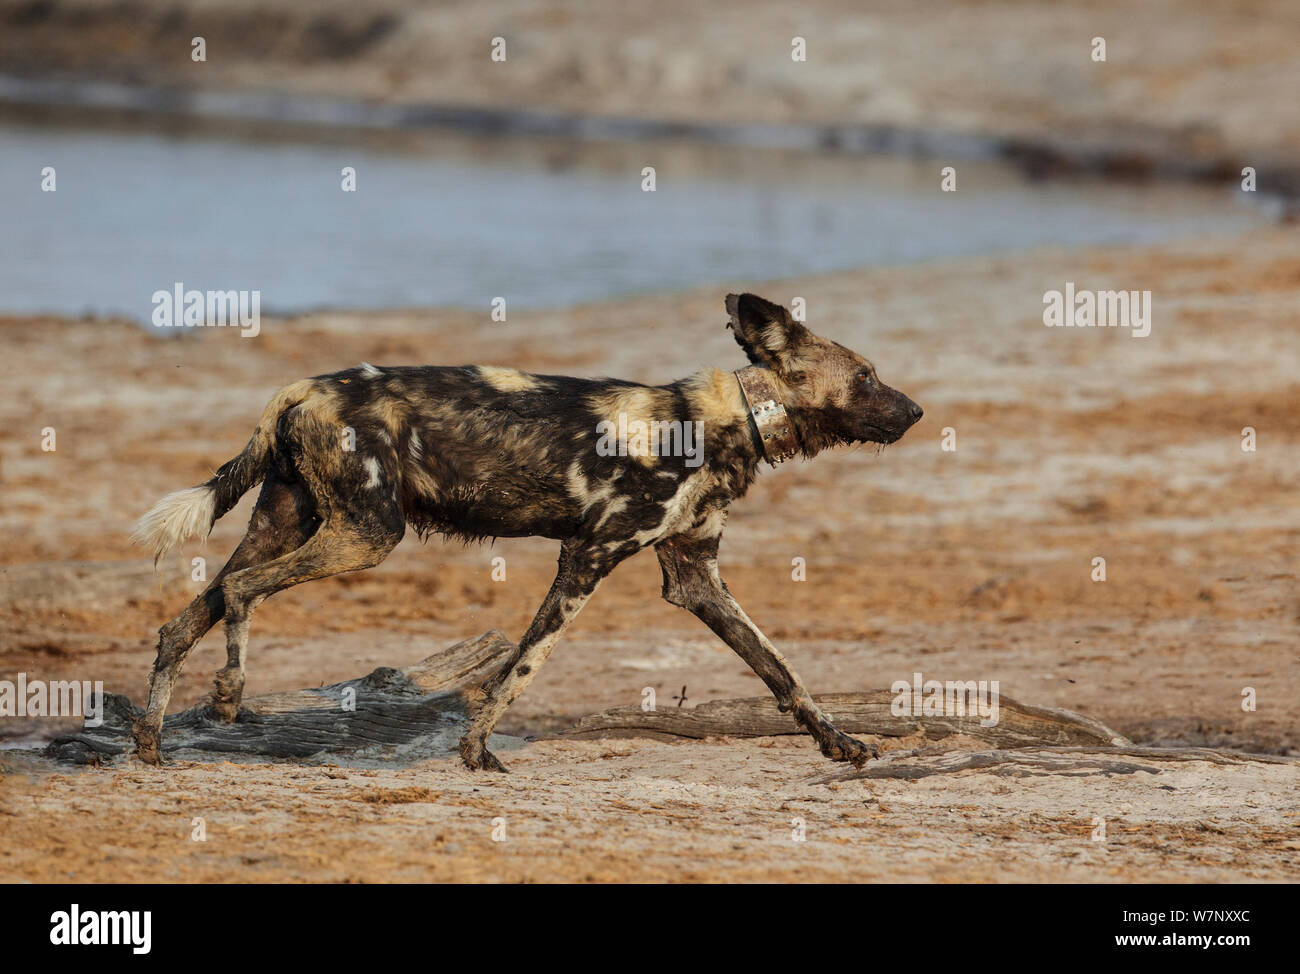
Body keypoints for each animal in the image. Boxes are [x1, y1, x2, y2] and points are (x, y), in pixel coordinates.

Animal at [131, 292, 925, 769]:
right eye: (866, 376)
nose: (917, 411)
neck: (721, 421)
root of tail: (303, 385)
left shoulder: (696, 580)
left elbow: (782, 670)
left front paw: (840, 741)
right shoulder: (585, 559)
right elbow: (522, 667)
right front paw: (477, 748)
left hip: (289, 525)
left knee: (188, 616)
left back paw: (151, 743)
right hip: (367, 536)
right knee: (241, 590)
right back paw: (228, 696)